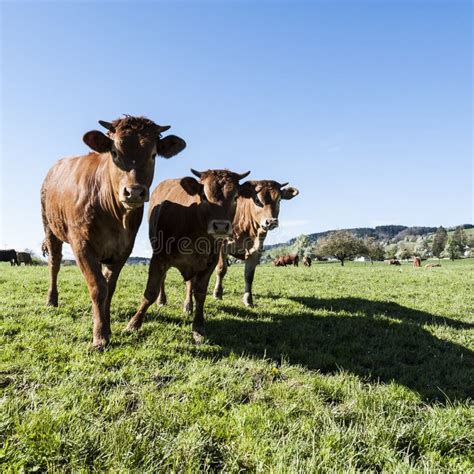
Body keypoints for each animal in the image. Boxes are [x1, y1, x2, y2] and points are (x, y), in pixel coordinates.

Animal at [40, 116, 186, 350]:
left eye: (153, 154)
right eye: (115, 152)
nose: (134, 192)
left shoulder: (123, 249)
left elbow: (109, 287)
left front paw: (105, 326)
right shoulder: (81, 244)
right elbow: (98, 287)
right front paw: (99, 337)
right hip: (50, 226)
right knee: (54, 264)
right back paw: (51, 300)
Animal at [125, 168, 260, 342]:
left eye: (236, 197)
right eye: (204, 196)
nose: (221, 226)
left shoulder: (210, 263)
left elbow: (200, 294)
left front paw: (198, 328)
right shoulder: (159, 258)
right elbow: (151, 292)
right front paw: (134, 323)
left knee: (190, 284)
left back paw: (188, 306)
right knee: (163, 280)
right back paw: (162, 301)